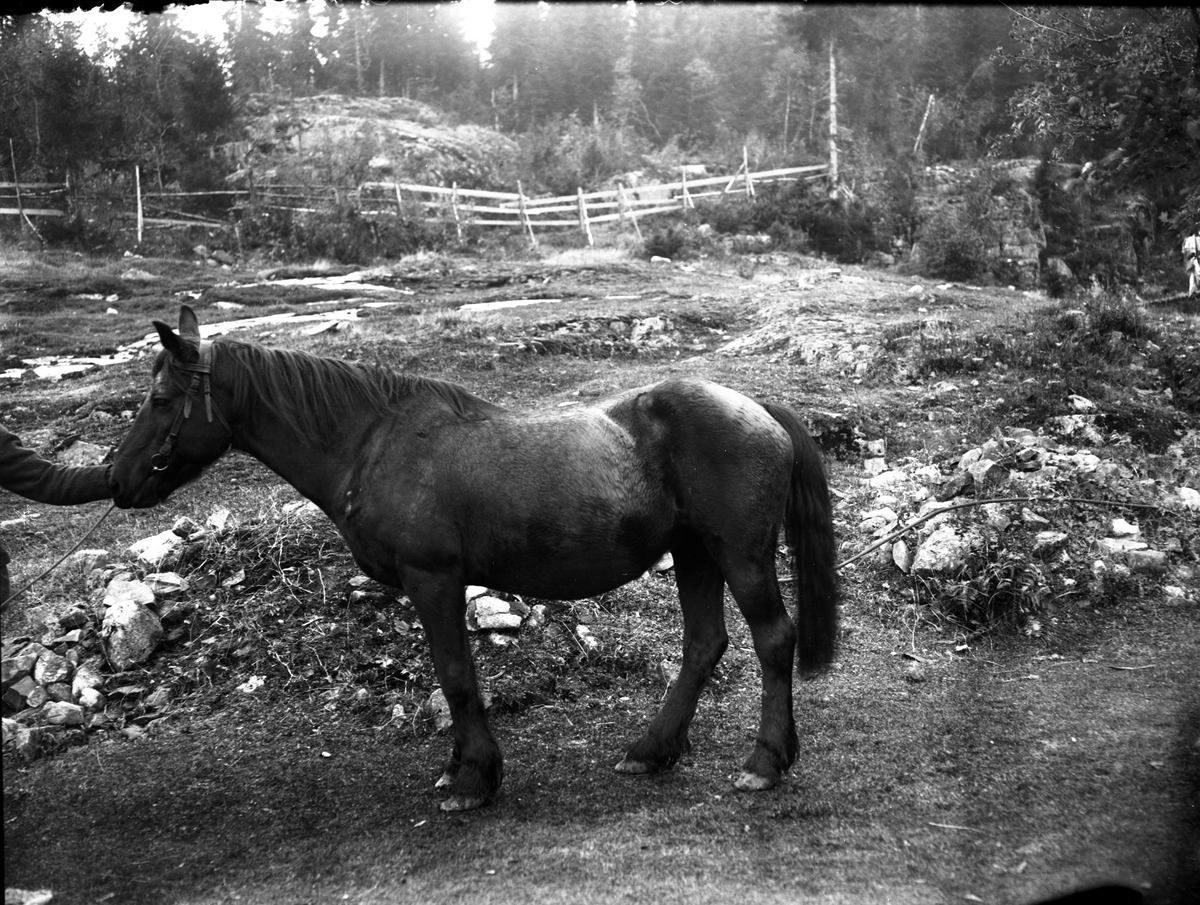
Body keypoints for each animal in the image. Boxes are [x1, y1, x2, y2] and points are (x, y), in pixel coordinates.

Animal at [112, 304, 840, 811]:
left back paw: (765, 761)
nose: (120, 480)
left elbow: (457, 677)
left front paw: (473, 778)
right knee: (703, 644)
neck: (373, 441)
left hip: (739, 555)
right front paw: (460, 767)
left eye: (161, 399)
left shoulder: (433, 581)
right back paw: (651, 749)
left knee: (772, 639)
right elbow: (452, 676)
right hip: (693, 554)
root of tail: (757, 408)